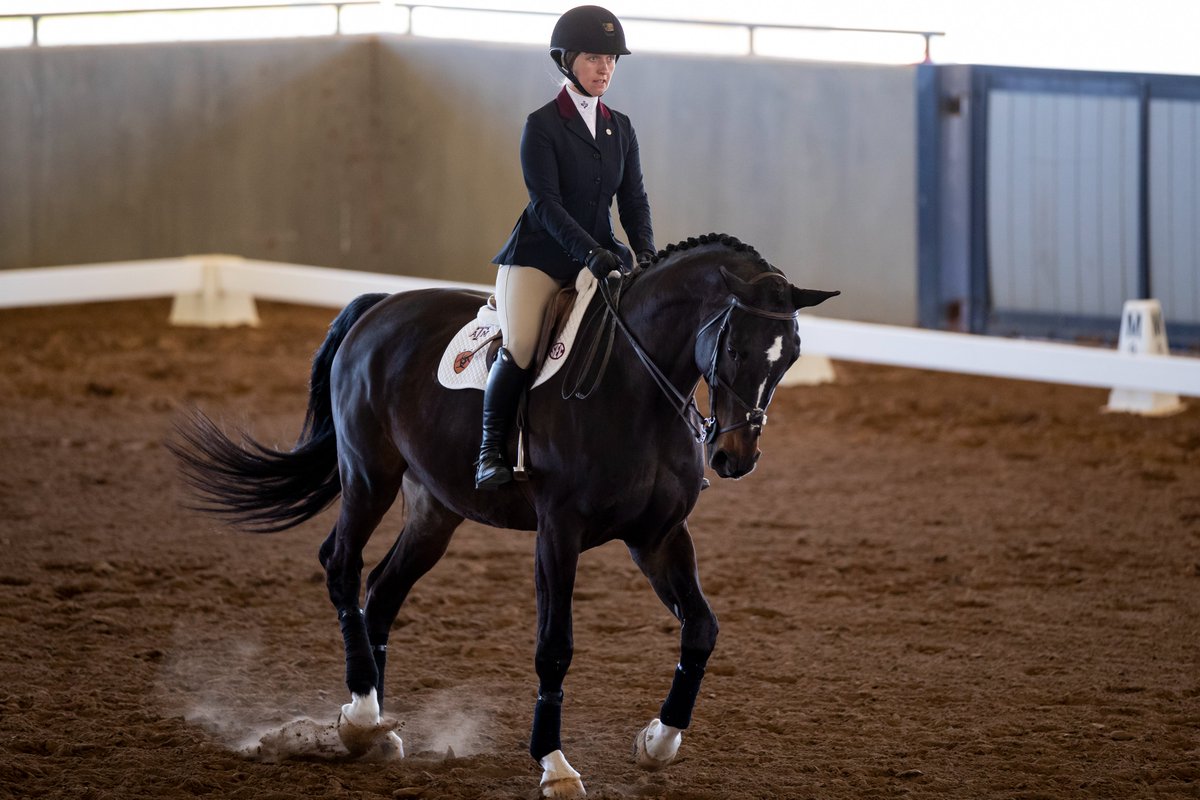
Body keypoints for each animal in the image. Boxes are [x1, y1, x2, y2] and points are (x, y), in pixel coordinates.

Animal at [171, 233, 837, 798]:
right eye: (735, 347)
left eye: (791, 356)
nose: (734, 457)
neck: (638, 388)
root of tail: (377, 307)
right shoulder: (559, 532)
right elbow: (554, 646)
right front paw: (555, 766)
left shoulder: (658, 537)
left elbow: (701, 628)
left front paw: (658, 742)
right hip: (368, 474)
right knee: (341, 565)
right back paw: (359, 714)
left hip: (435, 509)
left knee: (381, 593)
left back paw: (373, 731)